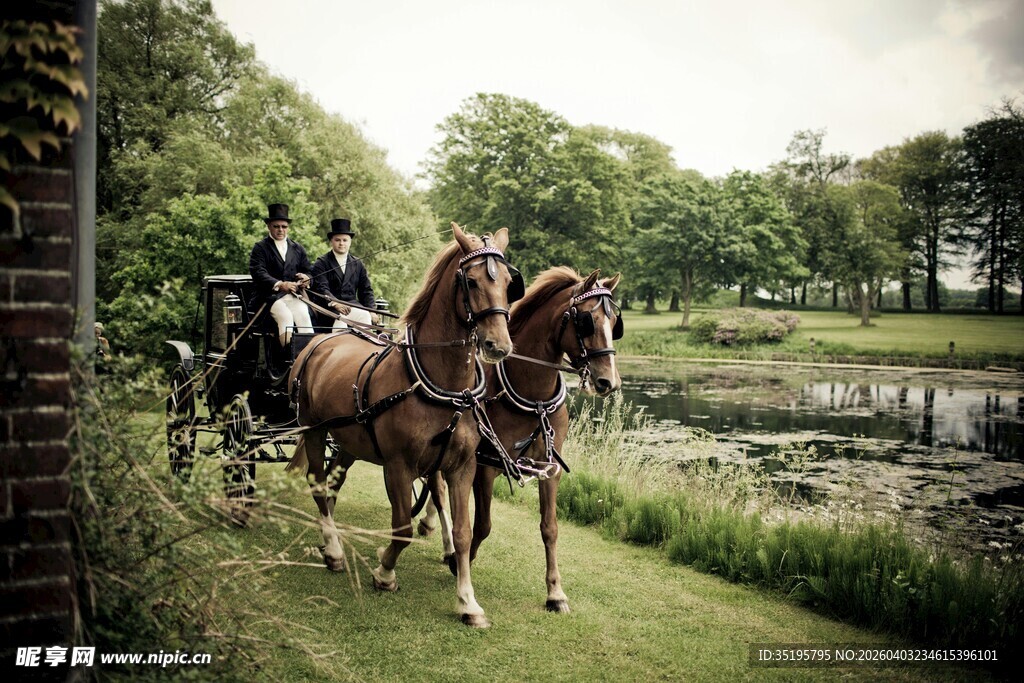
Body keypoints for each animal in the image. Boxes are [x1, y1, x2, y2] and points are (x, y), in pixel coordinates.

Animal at [286, 223, 523, 628]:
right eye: (471, 281)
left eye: (509, 282)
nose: (499, 346)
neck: (443, 385)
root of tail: (321, 342)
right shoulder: (399, 465)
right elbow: (401, 527)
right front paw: (384, 572)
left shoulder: (461, 467)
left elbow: (462, 532)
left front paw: (467, 600)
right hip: (314, 429)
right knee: (318, 484)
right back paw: (333, 549)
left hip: (349, 442)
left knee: (332, 484)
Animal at [417, 267, 623, 613]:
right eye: (587, 321)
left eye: (614, 323)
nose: (609, 381)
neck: (533, 397)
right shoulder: (485, 466)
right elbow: (483, 525)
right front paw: (460, 563)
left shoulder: (550, 468)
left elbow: (550, 528)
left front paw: (555, 592)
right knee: (437, 487)